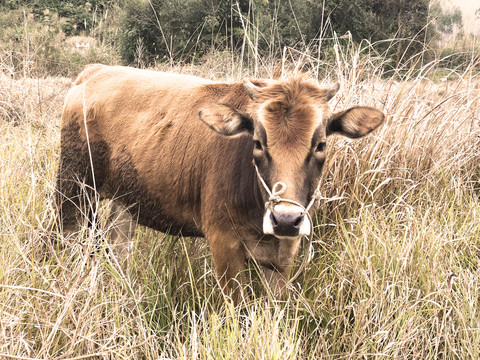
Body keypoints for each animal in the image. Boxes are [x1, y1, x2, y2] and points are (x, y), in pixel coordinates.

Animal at [57, 64, 386, 300]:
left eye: (320, 145)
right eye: (257, 142)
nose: (285, 218)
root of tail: (96, 71)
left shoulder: (284, 253)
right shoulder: (223, 243)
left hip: (124, 201)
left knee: (117, 246)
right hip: (74, 189)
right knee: (70, 239)